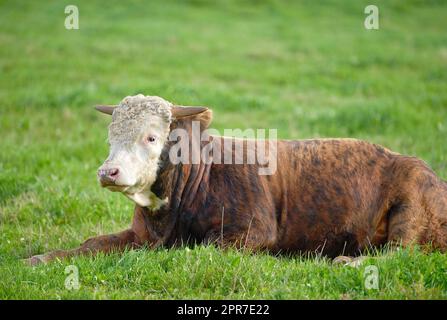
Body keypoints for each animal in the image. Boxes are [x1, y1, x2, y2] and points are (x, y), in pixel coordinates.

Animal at [25, 94, 447, 264]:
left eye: (152, 137)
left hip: (410, 209)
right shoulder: (141, 233)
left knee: (399, 253)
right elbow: (93, 243)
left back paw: (346, 261)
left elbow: (198, 249)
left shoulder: (254, 231)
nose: (108, 172)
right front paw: (41, 258)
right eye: (110, 136)